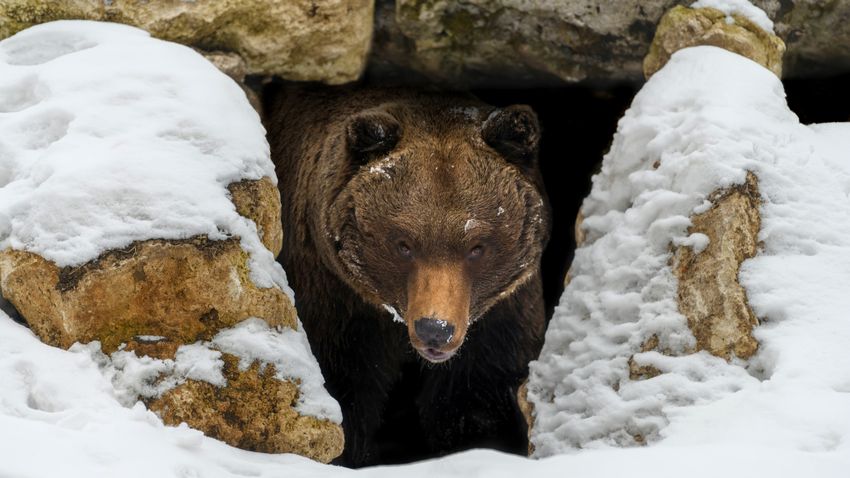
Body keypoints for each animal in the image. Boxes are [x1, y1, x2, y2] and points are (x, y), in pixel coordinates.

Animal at [264, 86, 548, 466]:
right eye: (404, 244)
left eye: (477, 246)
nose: (435, 329)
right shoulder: (337, 303)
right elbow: (345, 388)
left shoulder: (500, 320)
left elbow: (476, 402)